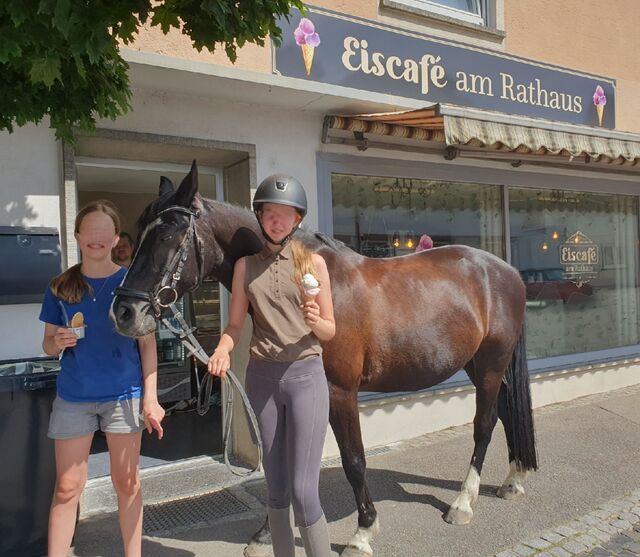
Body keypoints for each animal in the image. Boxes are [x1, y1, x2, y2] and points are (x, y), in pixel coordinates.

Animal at [111, 163, 537, 557]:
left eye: (167, 235)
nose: (124, 313)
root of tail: (505, 270)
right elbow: (287, 464)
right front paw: (266, 534)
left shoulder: (339, 392)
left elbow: (353, 460)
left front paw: (363, 532)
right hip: (479, 366)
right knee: (504, 412)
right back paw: (513, 479)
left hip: (490, 366)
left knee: (484, 424)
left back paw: (463, 503)